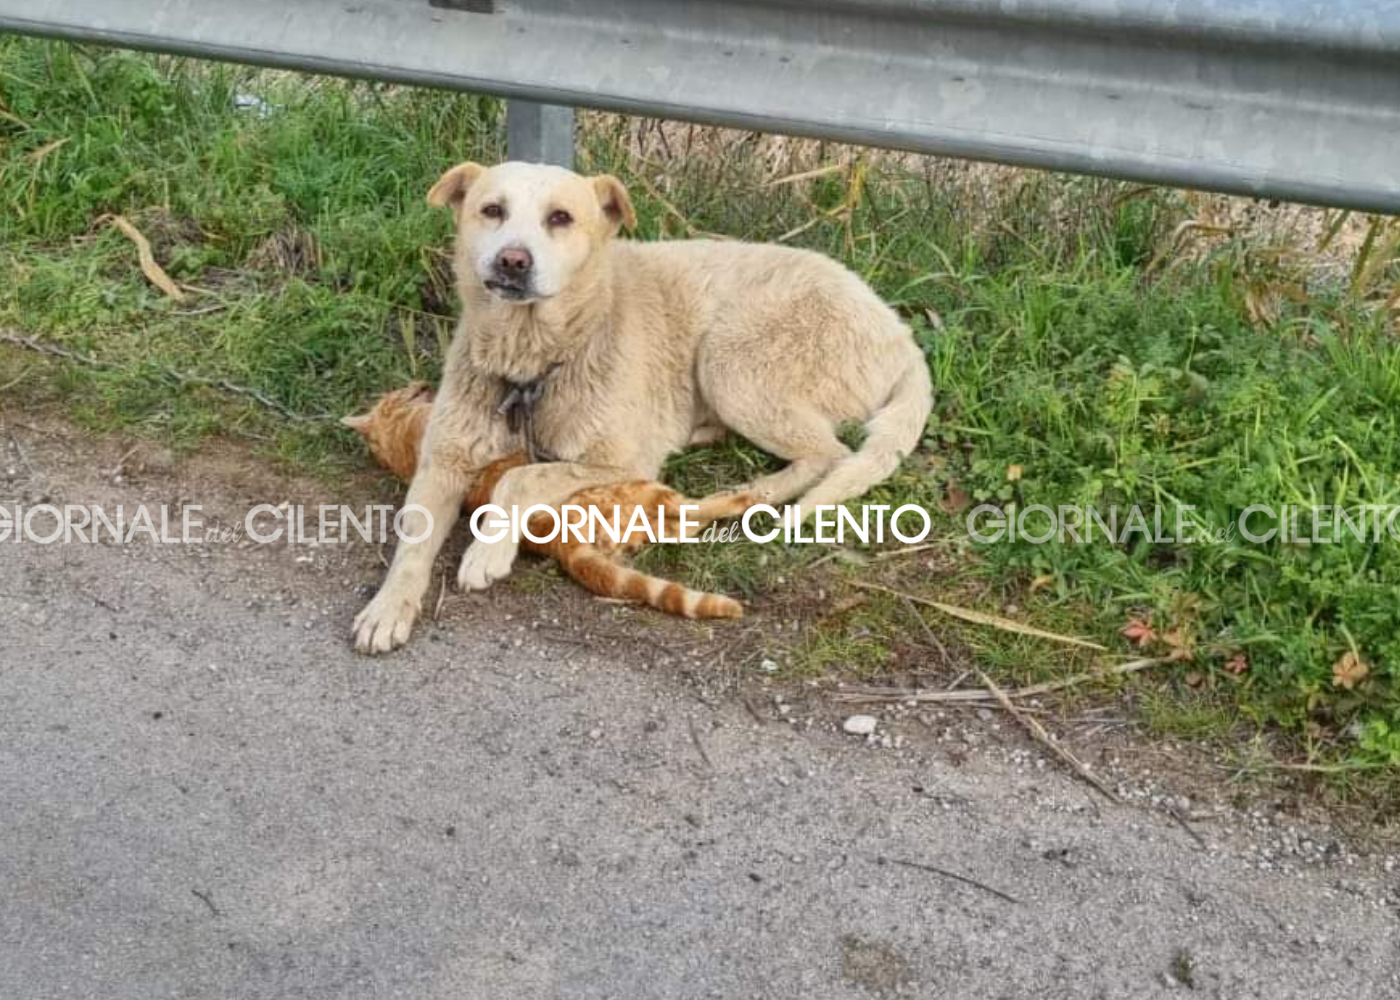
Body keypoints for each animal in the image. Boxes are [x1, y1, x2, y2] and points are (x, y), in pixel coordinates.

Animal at [341, 380, 756, 616]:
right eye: (410, 391)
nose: (422, 381)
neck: (402, 442)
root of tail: (565, 543)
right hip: (646, 488)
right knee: (697, 511)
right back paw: (747, 492)